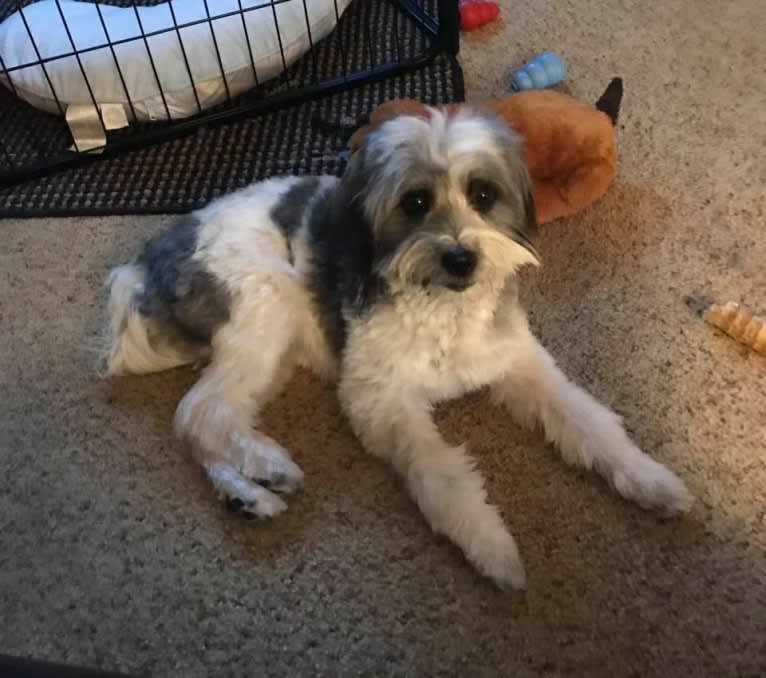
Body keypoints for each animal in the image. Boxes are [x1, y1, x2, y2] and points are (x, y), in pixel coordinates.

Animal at [103, 105, 696, 588]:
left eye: (483, 195)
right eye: (415, 202)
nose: (461, 257)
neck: (443, 308)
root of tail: (147, 260)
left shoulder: (520, 364)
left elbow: (589, 422)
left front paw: (651, 481)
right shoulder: (380, 400)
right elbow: (443, 473)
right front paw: (493, 549)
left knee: (206, 418)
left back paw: (245, 494)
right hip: (268, 307)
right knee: (198, 412)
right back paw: (267, 467)